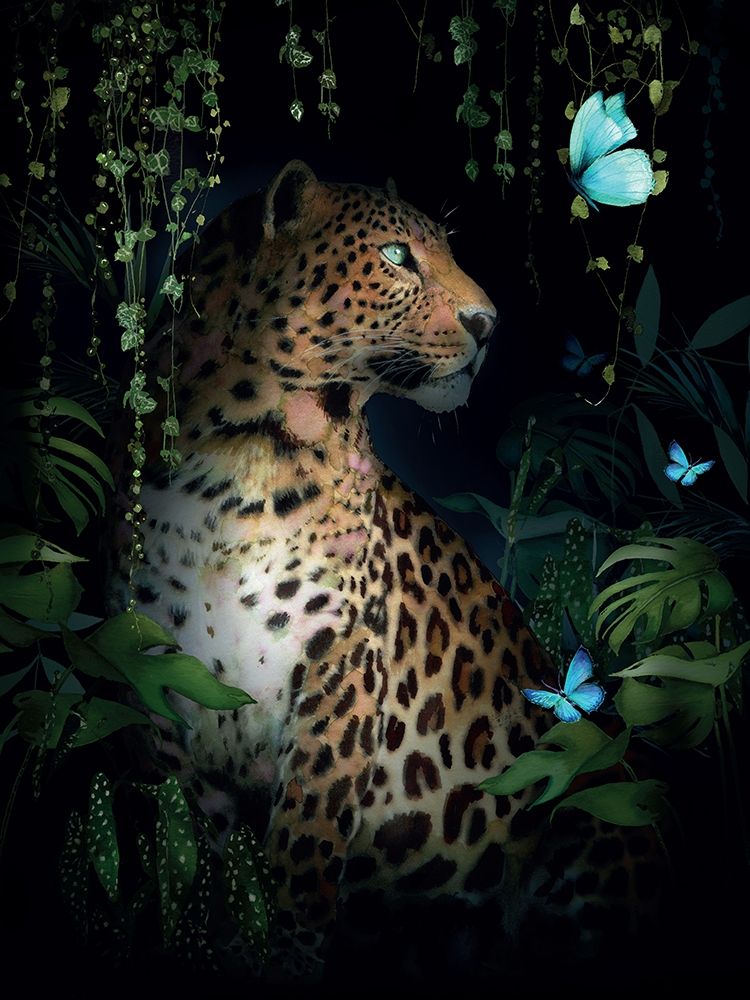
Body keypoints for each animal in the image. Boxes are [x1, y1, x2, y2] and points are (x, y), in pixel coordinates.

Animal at [105, 160, 663, 983]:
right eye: (398, 256)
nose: (489, 324)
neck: (242, 456)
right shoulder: (155, 688)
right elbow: (191, 859)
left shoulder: (340, 665)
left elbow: (301, 852)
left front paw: (289, 957)